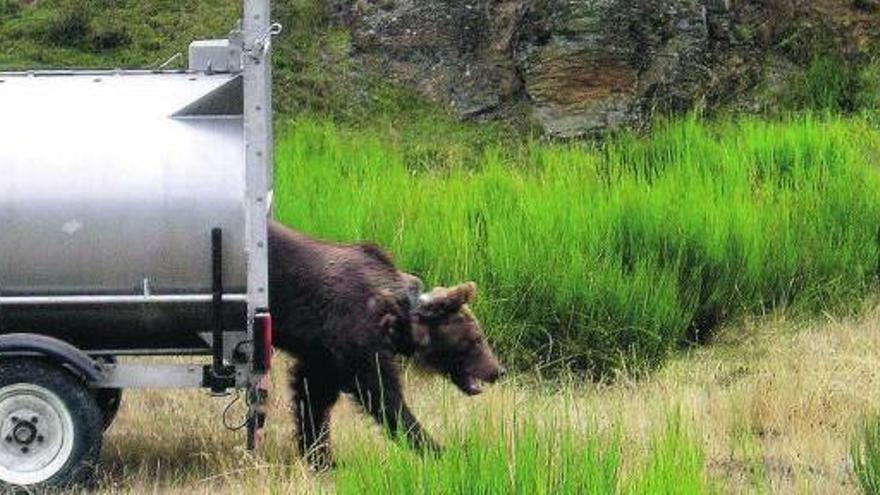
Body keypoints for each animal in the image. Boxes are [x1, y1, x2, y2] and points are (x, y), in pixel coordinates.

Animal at [266, 221, 502, 468]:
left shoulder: (324, 354)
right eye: (476, 339)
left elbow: (313, 394)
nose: (497, 370)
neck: (397, 321)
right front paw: (438, 450)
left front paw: (321, 457)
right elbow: (382, 396)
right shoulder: (355, 338)